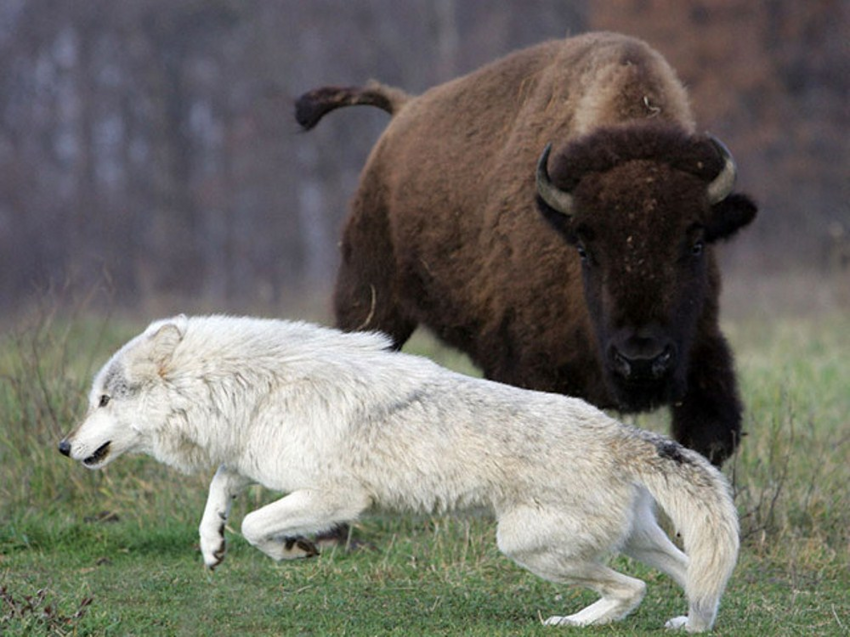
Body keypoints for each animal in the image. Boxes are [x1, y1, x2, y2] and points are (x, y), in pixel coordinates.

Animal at [59, 316, 736, 628]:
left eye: (103, 400)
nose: (64, 447)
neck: (249, 389)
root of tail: (623, 435)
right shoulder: (252, 460)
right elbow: (221, 492)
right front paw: (211, 546)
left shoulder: (338, 496)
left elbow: (256, 523)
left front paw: (293, 550)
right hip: (640, 541)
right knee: (692, 581)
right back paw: (689, 625)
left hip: (526, 546)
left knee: (633, 589)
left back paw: (571, 624)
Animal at [296, 32, 756, 464]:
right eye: (584, 248)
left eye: (696, 243)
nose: (641, 360)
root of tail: (402, 111)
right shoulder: (533, 368)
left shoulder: (704, 350)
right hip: (370, 304)